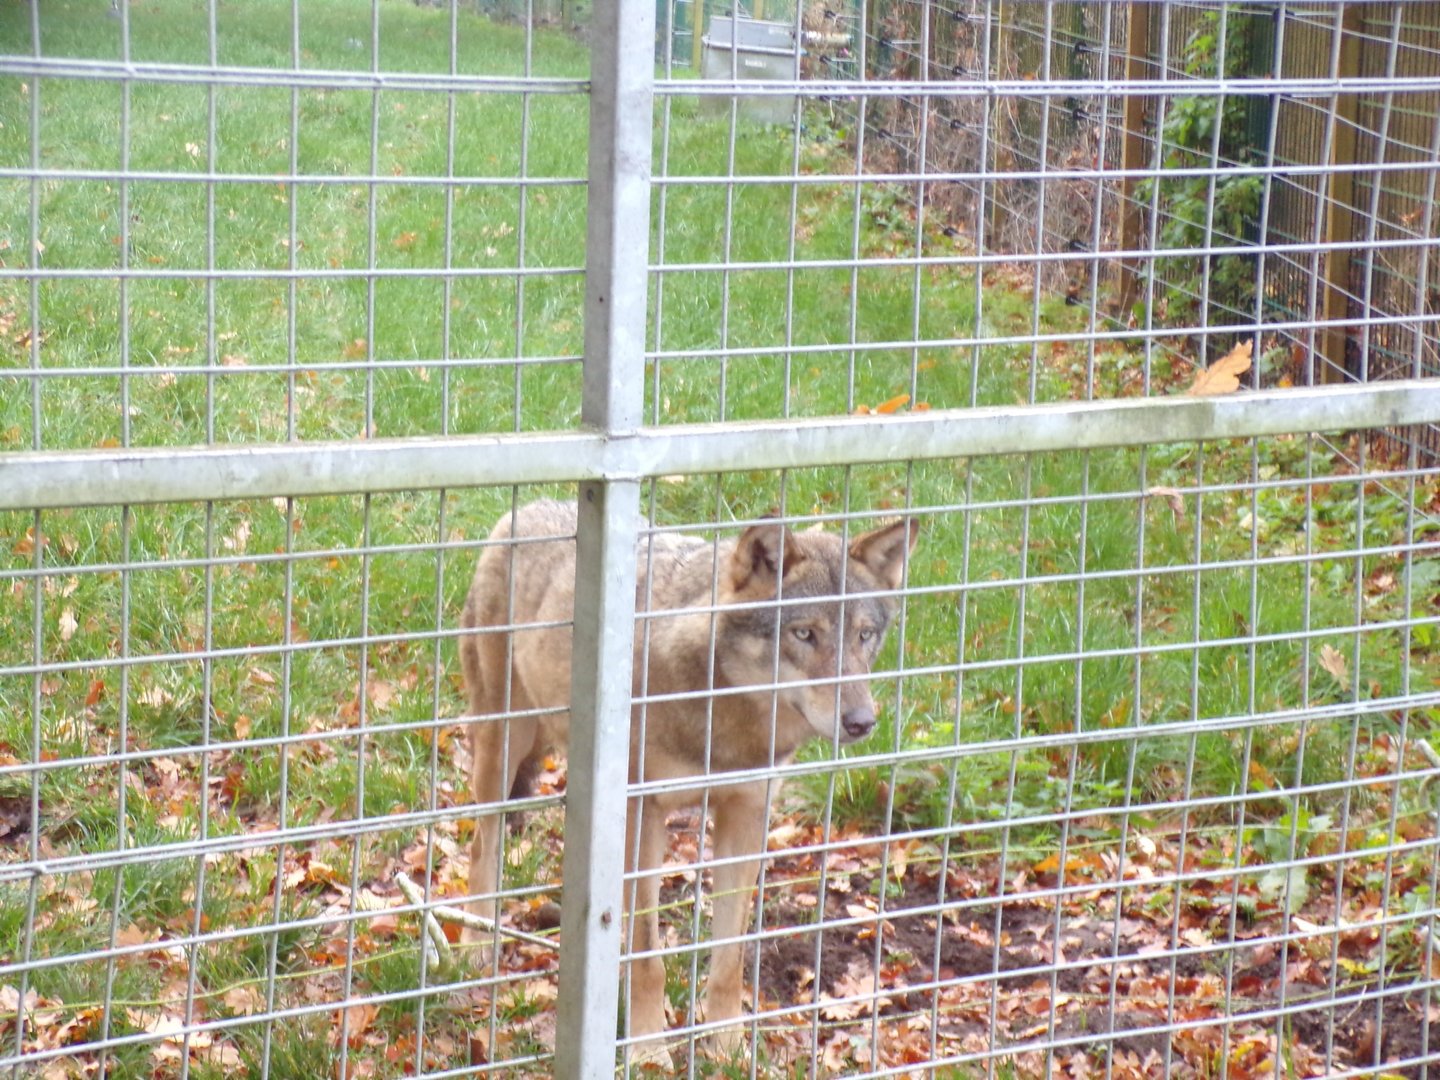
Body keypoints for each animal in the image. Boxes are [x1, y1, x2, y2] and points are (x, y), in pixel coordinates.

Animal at [459, 498, 917, 1060]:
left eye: (863, 635)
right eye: (804, 634)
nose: (861, 722)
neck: (728, 725)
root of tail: (532, 506)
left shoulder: (746, 815)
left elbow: (729, 958)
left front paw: (727, 1047)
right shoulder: (642, 817)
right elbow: (646, 958)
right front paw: (647, 1050)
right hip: (502, 748)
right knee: (483, 844)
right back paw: (475, 946)